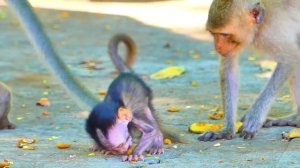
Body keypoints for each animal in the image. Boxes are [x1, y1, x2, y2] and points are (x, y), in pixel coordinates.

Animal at [199, 0, 300, 141]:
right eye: (213, 34)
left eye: (224, 34)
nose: (217, 47)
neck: (259, 27)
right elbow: (228, 67)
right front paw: (226, 130)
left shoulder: (271, 34)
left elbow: (291, 58)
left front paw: (254, 118)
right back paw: (295, 118)